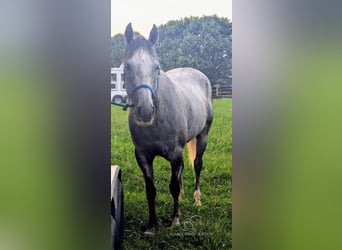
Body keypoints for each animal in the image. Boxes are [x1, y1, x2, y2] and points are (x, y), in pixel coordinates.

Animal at [123, 23, 214, 234]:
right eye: (127, 66)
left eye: (156, 67)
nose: (145, 111)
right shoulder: (143, 156)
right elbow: (151, 190)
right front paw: (151, 225)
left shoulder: (175, 153)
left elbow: (172, 185)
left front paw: (175, 220)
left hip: (203, 136)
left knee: (197, 164)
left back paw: (197, 199)